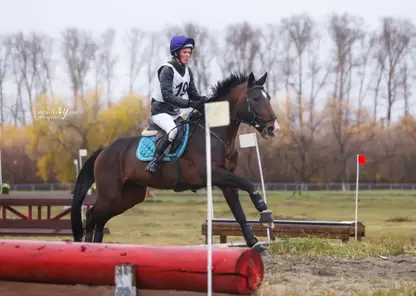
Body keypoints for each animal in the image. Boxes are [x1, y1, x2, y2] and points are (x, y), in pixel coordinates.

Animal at [70, 71, 280, 254]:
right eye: (255, 99)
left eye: (268, 97)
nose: (273, 128)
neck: (215, 134)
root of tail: (104, 150)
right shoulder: (213, 174)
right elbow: (248, 184)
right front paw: (265, 212)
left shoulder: (225, 182)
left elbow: (238, 211)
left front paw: (255, 243)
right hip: (111, 194)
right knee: (92, 216)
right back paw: (86, 248)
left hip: (129, 196)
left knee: (100, 219)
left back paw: (96, 248)